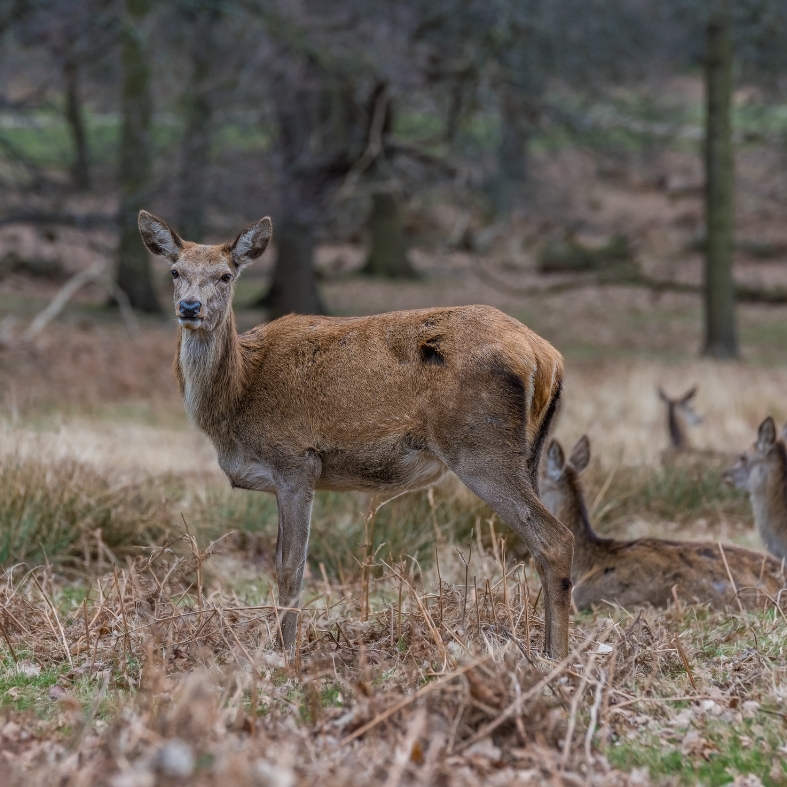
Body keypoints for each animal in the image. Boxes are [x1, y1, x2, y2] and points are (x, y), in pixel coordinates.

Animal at [139, 209, 576, 660]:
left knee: (555, 538)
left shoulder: (296, 460)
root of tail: (547, 357)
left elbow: (291, 566)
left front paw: (285, 653)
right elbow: (280, 562)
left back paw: (556, 657)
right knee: (540, 545)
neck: (238, 396)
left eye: (226, 275)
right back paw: (545, 650)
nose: (190, 307)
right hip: (529, 453)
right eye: (175, 271)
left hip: (480, 447)